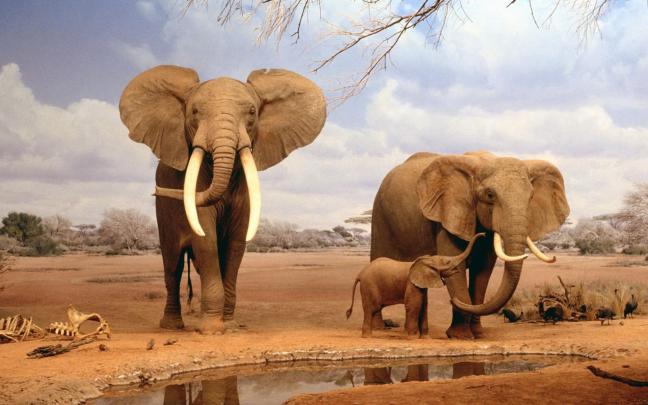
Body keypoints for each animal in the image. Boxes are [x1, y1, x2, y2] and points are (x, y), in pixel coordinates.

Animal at [119, 65, 326, 333]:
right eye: (194, 112)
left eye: (252, 112)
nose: (156, 190)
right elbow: (205, 239)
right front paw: (211, 330)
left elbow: (236, 243)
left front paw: (230, 325)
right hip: (163, 213)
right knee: (172, 266)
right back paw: (172, 326)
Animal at [346, 233, 484, 338]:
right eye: (448, 262)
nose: (484, 234)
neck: (427, 260)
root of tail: (360, 273)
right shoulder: (411, 284)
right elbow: (414, 305)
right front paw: (412, 337)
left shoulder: (421, 284)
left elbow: (424, 306)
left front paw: (425, 338)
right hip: (369, 285)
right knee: (371, 308)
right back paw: (367, 336)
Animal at [371, 151, 569, 339]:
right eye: (490, 195)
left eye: (531, 196)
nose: (452, 300)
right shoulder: (448, 215)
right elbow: (455, 264)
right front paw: (461, 336)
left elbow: (482, 271)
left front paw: (478, 335)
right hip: (380, 215)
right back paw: (382, 327)